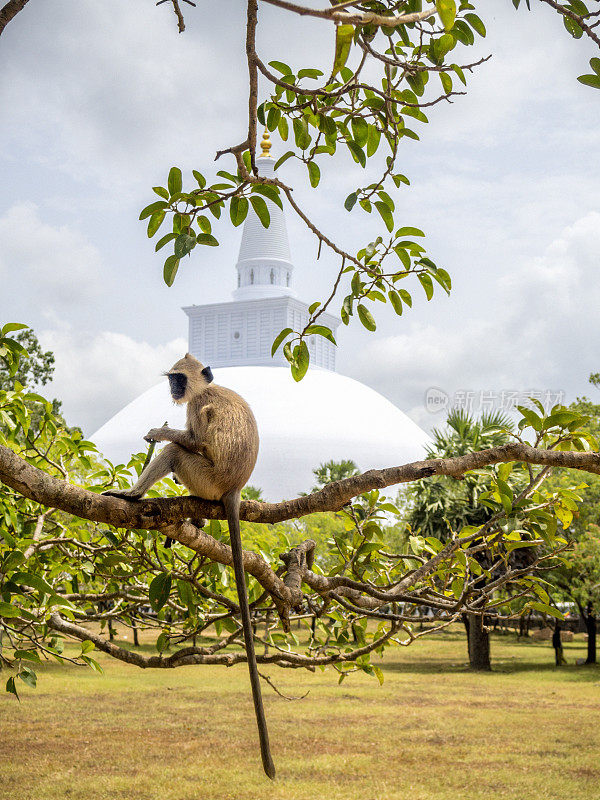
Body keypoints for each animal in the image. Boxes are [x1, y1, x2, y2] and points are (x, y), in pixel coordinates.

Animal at [105, 354, 276, 780]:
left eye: (179, 380)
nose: (173, 390)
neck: (205, 388)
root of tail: (234, 489)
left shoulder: (200, 406)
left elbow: (195, 441)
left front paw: (156, 431)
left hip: (207, 478)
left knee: (177, 453)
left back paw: (133, 495)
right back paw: (193, 519)